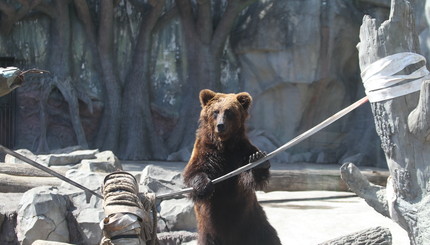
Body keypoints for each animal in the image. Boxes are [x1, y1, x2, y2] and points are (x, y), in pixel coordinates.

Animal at [182, 89, 280, 245]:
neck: (224, 145)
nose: (220, 125)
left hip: (253, 221)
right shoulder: (205, 150)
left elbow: (247, 179)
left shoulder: (240, 151)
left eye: (229, 112)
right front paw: (205, 185)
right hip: (208, 230)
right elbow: (194, 171)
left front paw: (258, 159)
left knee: (269, 237)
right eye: (215, 111)